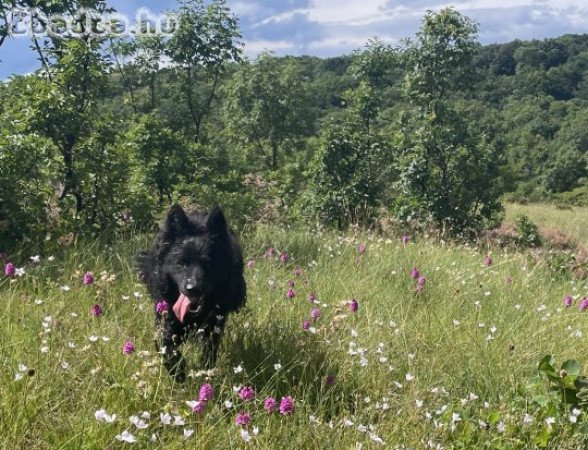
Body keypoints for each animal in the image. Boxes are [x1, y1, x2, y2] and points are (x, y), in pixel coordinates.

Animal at [137, 206, 246, 382]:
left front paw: (204, 374)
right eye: (181, 263)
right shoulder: (165, 318)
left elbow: (208, 353)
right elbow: (166, 347)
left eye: (208, 264)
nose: (192, 288)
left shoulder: (213, 325)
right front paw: (179, 373)